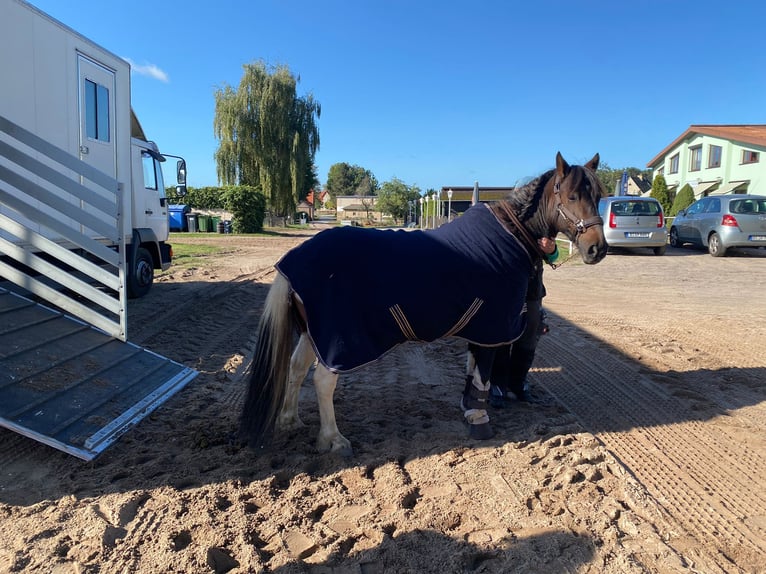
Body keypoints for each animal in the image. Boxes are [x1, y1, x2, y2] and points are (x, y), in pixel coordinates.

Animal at [242, 151, 612, 456]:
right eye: (572, 195)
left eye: (599, 196)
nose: (597, 249)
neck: (507, 235)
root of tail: (295, 259)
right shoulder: (491, 328)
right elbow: (483, 377)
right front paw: (480, 421)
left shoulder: (481, 328)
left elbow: (472, 373)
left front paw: (469, 411)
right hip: (338, 339)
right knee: (322, 380)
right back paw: (334, 440)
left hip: (311, 332)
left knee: (295, 368)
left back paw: (290, 421)